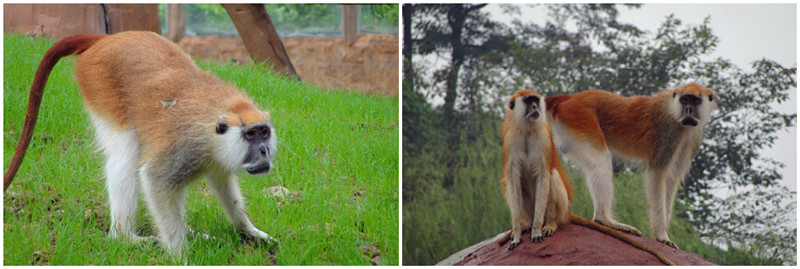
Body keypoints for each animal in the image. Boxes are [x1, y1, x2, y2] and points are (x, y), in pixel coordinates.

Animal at [4, 31, 278, 255]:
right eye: (250, 135)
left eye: (264, 132)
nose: (264, 151)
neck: (221, 114)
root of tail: (106, 40)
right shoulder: (188, 146)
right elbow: (155, 179)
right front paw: (178, 256)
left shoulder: (214, 153)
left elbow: (221, 180)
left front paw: (248, 230)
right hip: (98, 81)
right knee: (125, 154)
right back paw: (125, 238)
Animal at [500, 89, 676, 264]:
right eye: (529, 101)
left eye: (535, 100)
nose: (536, 107)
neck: (527, 130)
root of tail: (567, 213)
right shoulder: (511, 141)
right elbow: (513, 180)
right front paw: (517, 235)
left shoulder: (543, 140)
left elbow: (543, 176)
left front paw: (536, 230)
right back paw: (527, 224)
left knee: (555, 175)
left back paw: (551, 223)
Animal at [548, 83, 716, 247]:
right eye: (685, 99)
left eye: (695, 100)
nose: (688, 110)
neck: (674, 110)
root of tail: (570, 99)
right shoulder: (669, 132)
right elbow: (656, 175)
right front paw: (661, 235)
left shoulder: (693, 137)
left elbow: (672, 180)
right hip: (580, 119)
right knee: (600, 162)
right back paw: (604, 219)